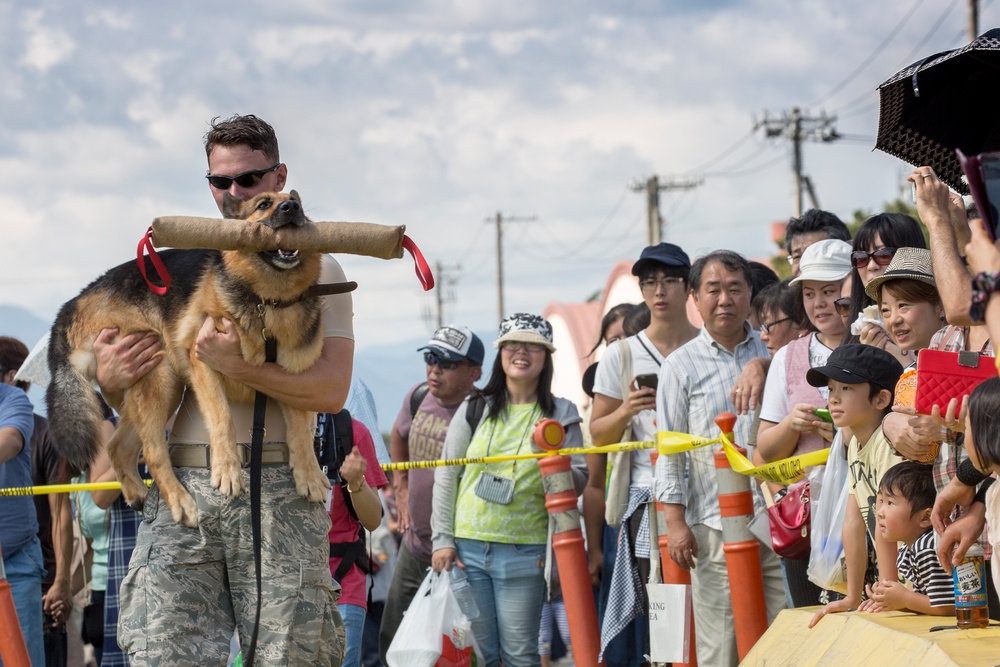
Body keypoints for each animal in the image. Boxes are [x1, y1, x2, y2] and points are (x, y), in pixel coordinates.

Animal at [47, 192, 328, 528]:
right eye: (263, 204)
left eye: (296, 201)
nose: (292, 207)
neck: (267, 301)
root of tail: (75, 302)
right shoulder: (202, 363)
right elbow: (222, 417)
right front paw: (227, 469)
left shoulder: (293, 377)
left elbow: (300, 431)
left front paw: (309, 474)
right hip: (162, 375)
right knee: (154, 452)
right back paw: (179, 500)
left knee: (117, 446)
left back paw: (137, 493)